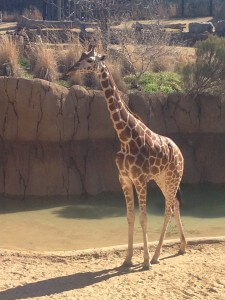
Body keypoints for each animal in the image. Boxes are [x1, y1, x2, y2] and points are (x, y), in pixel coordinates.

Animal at [67, 45, 186, 270]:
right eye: (80, 56)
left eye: (90, 61)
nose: (70, 70)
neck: (125, 137)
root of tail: (180, 152)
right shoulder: (124, 179)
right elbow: (130, 217)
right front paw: (128, 259)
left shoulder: (140, 180)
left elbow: (143, 218)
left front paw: (145, 261)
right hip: (162, 179)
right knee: (174, 203)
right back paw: (182, 247)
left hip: (173, 177)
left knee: (168, 208)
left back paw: (156, 256)